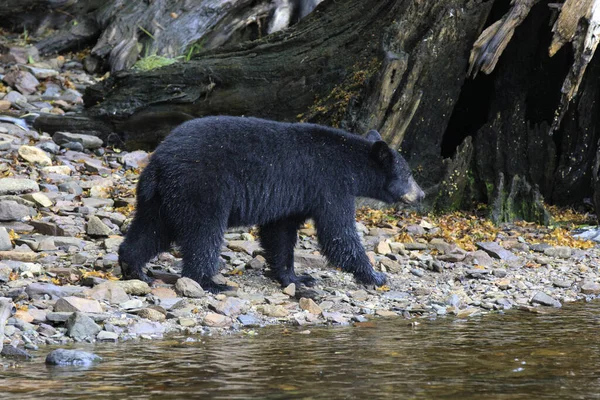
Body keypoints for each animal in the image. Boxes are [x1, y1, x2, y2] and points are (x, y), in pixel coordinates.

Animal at [119, 115, 424, 294]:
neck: (350, 162)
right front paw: (375, 275)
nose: (421, 195)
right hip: (201, 188)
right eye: (409, 174)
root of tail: (159, 162)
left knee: (151, 229)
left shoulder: (294, 197)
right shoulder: (329, 184)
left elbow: (280, 234)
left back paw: (133, 268)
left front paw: (296, 278)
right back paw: (210, 283)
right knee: (202, 234)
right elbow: (338, 233)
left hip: (160, 198)